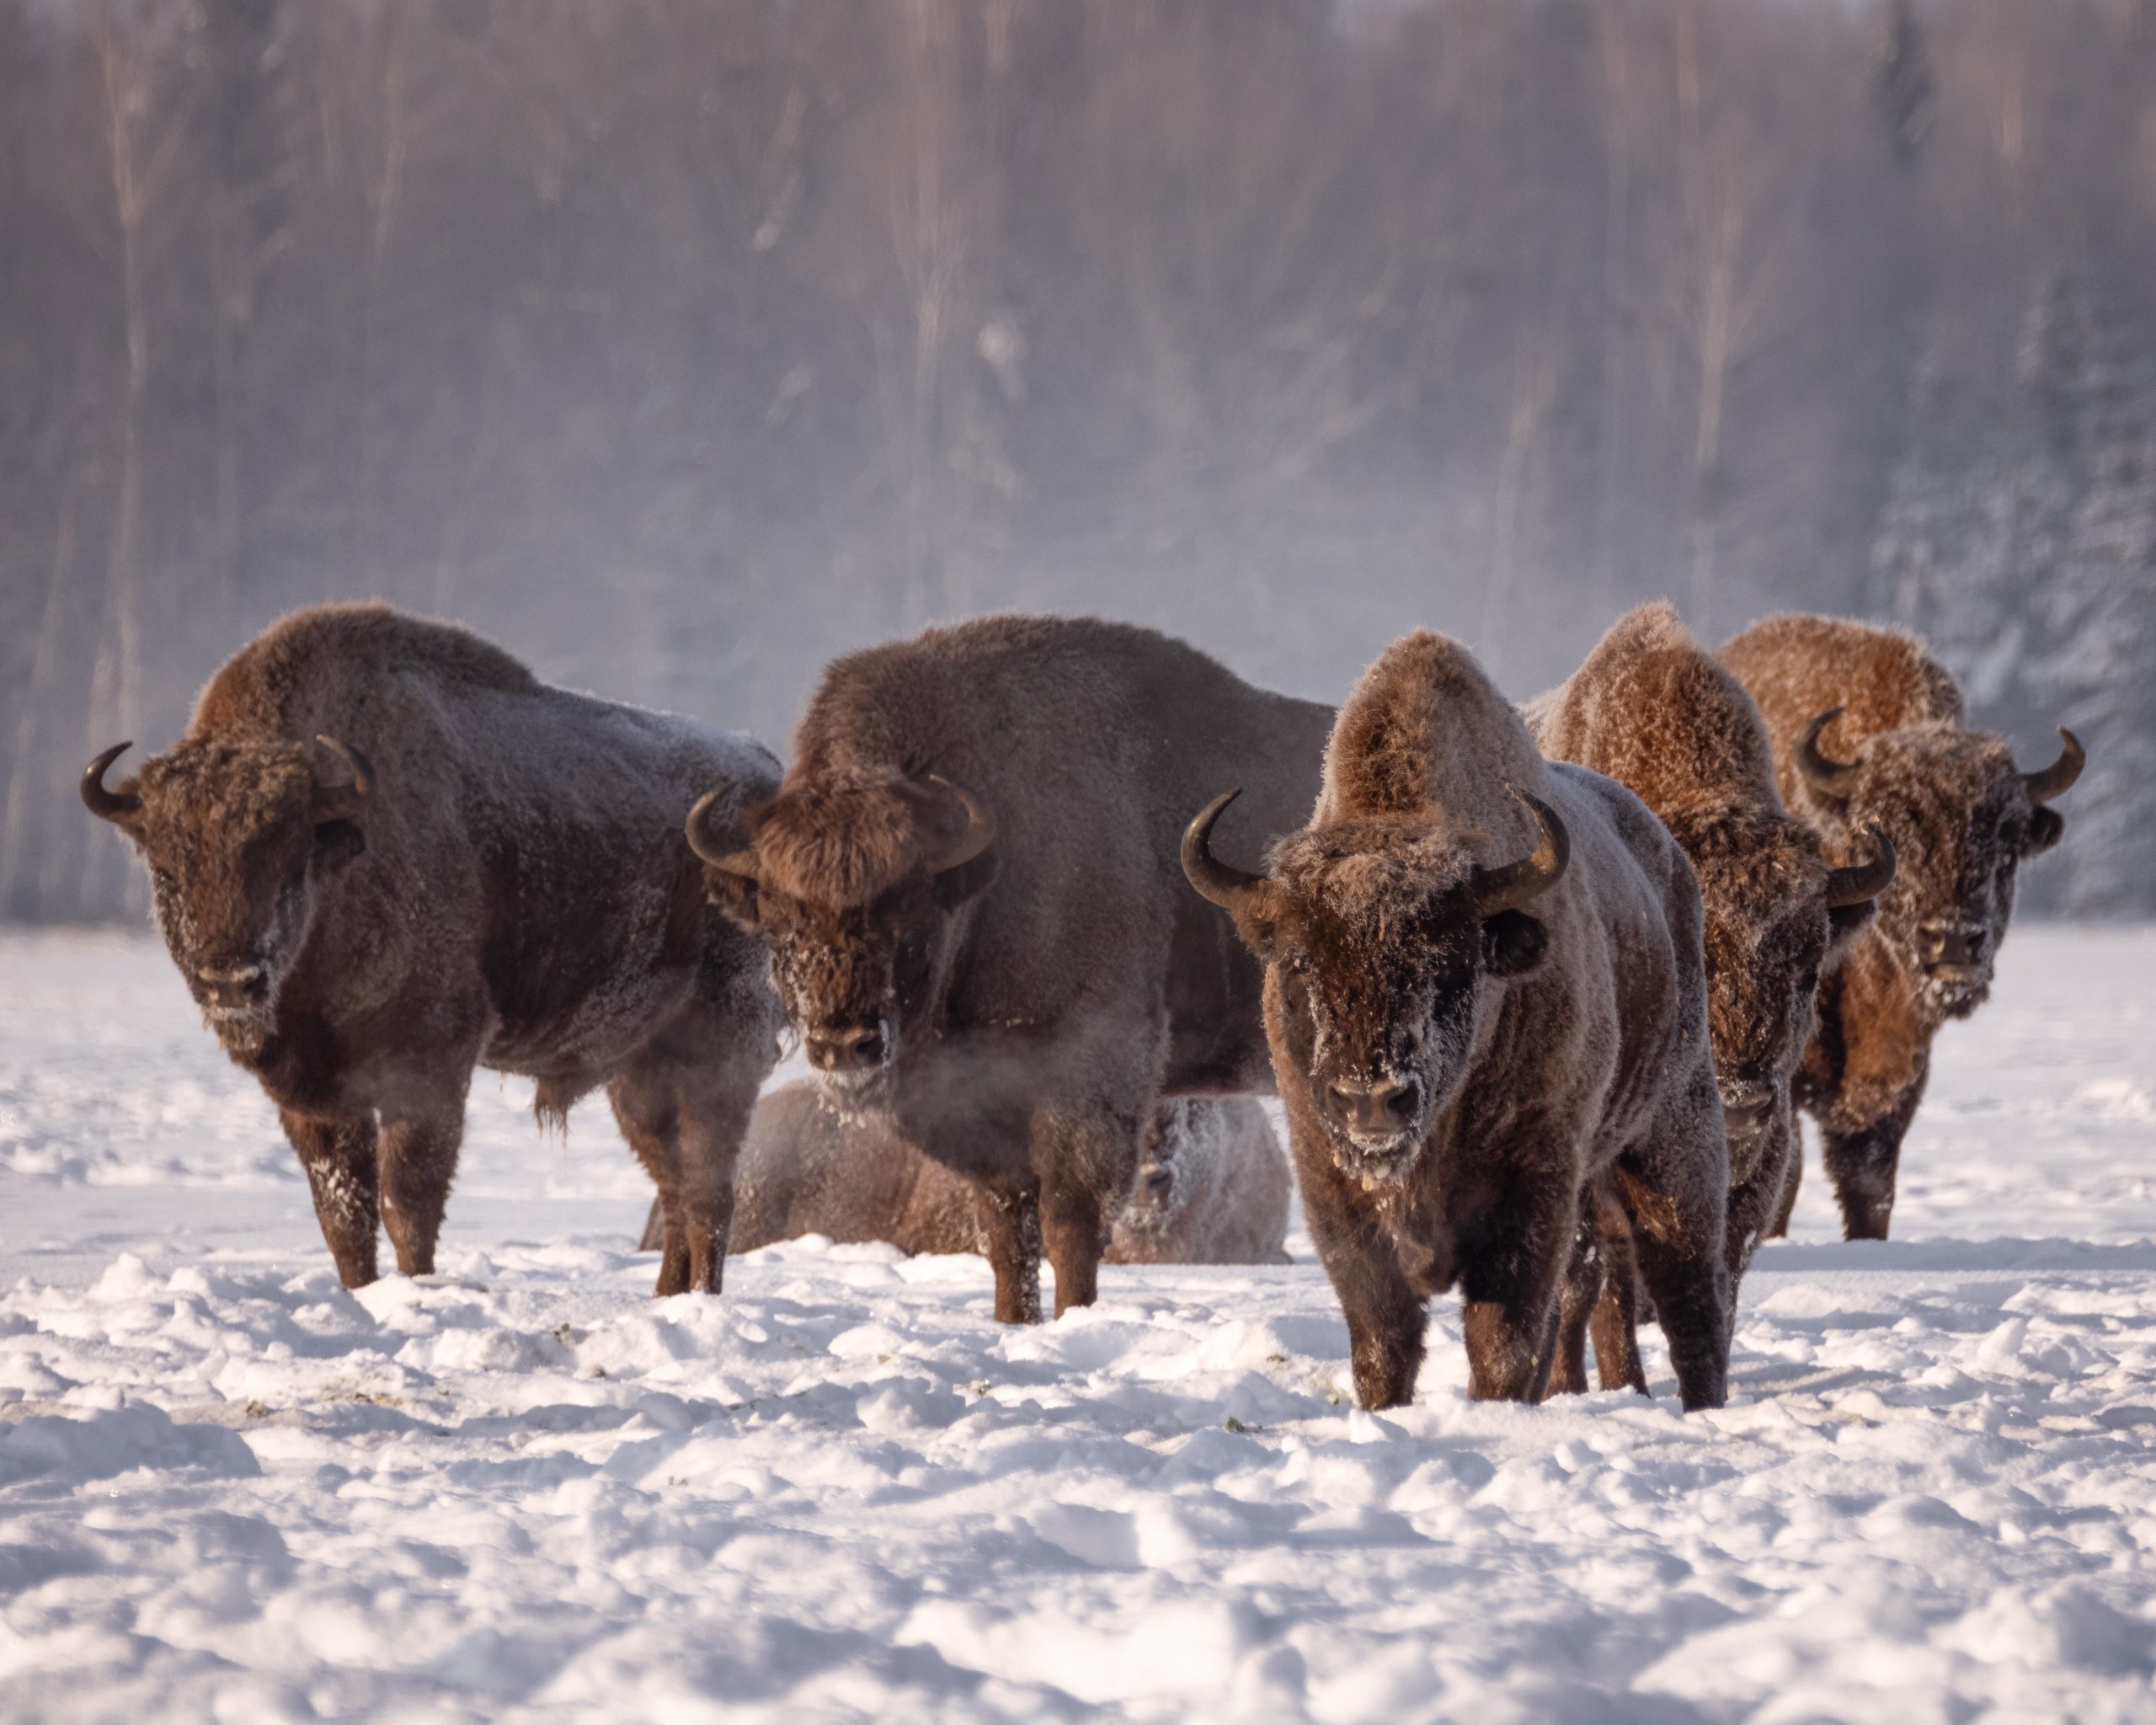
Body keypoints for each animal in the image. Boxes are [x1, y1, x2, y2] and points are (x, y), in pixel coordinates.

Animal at [82, 602, 781, 1294]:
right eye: (165, 867)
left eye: (290, 855)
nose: (231, 980)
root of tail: (767, 777)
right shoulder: (311, 1095)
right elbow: (343, 1215)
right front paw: (361, 1296)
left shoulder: (427, 1069)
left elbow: (406, 1203)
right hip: (640, 1069)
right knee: (675, 1184)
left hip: (724, 1045)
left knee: (709, 1189)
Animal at [687, 615, 1333, 1321]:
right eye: (779, 923)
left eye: (909, 913)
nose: (844, 1046)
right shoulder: (973, 1104)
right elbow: (1006, 1226)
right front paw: (1012, 1320)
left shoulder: (1092, 1074)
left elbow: (1071, 1220)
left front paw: (1073, 1318)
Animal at [1187, 630, 1730, 1410]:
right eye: (1297, 962)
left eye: (1449, 962)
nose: (1371, 1101)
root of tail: (1672, 867)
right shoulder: (1333, 1191)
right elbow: (1383, 1341)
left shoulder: (1531, 1187)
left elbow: (1501, 1340)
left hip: (1673, 1134)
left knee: (1689, 1289)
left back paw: (1703, 1406)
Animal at [1720, 614, 2082, 1239]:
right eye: (1893, 829)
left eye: (2009, 843)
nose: (1955, 939)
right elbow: (1783, 1184)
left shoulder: (1899, 1084)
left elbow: (1872, 1190)